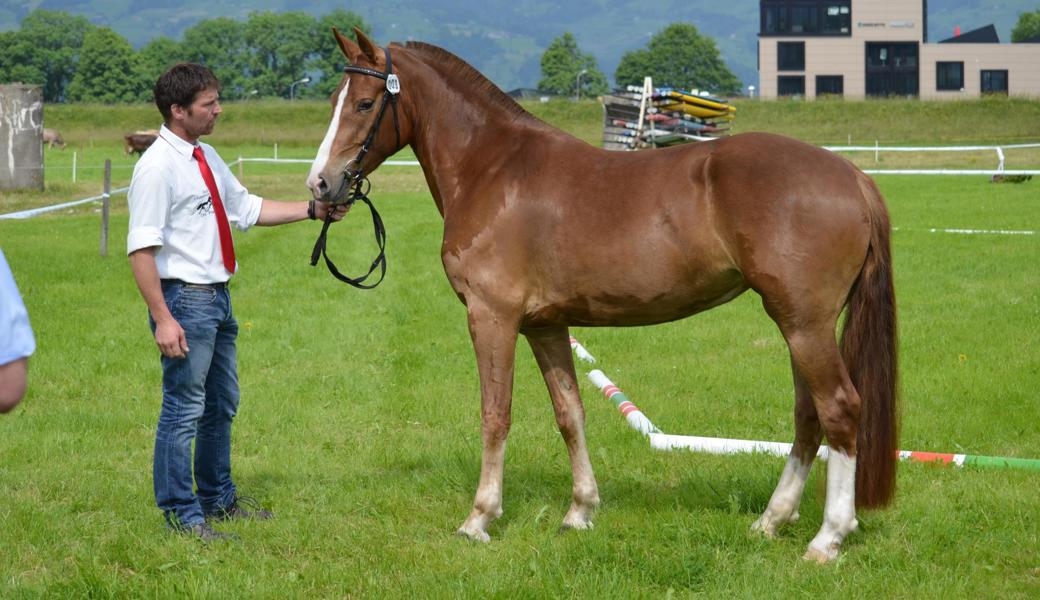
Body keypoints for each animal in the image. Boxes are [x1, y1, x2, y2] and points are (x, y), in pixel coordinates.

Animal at [305, 28, 894, 561]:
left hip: (804, 324)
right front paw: (580, 511)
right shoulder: (545, 324)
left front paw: (480, 518)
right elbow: (571, 412)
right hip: (798, 325)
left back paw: (827, 538)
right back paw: (771, 521)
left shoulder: (492, 317)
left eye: (364, 103)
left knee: (839, 409)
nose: (321, 186)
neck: (492, 169)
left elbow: (496, 413)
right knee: (808, 415)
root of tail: (851, 174)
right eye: (333, 102)